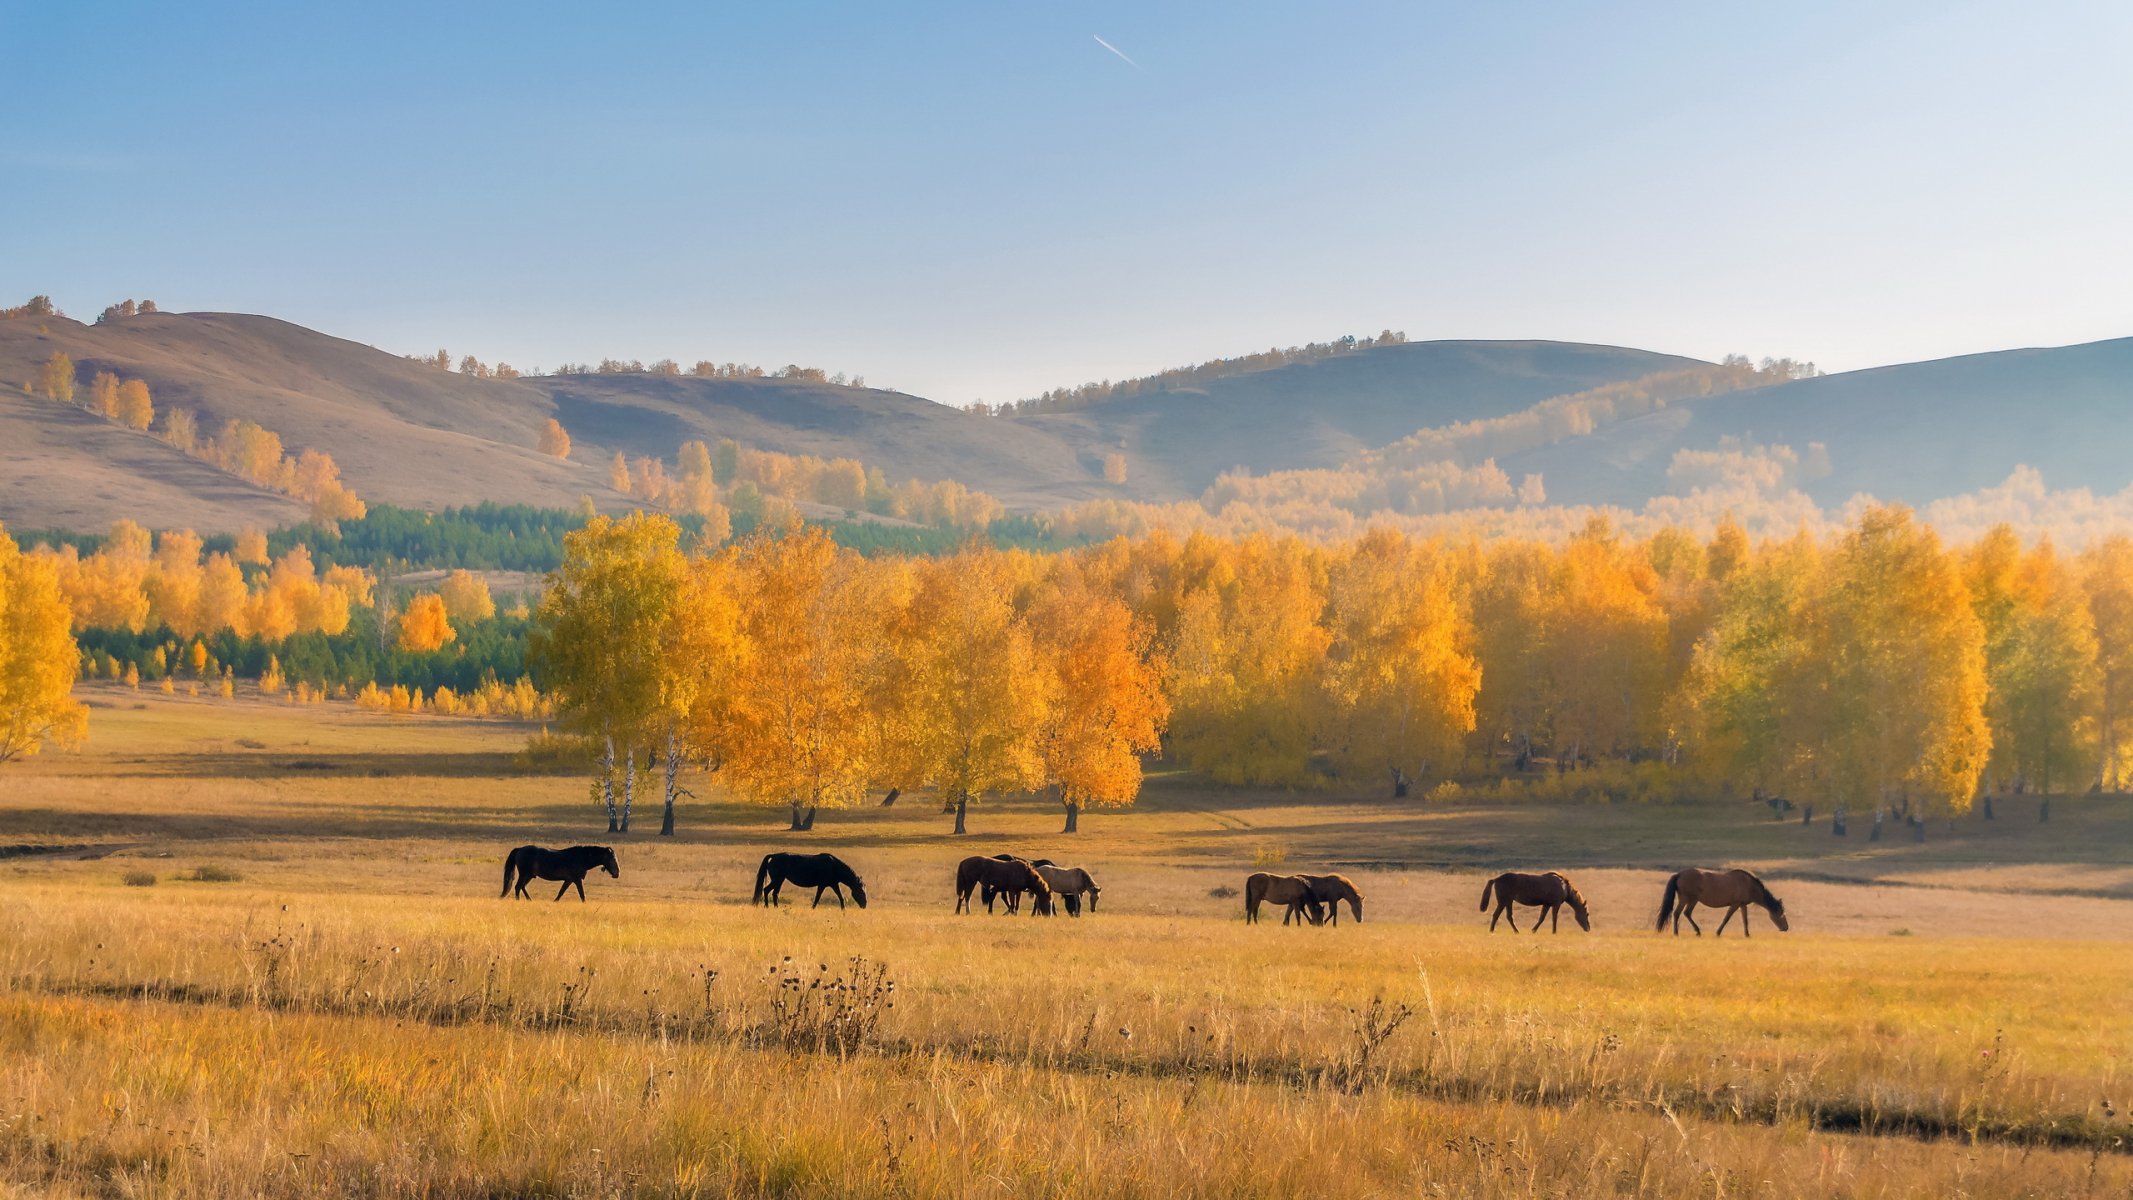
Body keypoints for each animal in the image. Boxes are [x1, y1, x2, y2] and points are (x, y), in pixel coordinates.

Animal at [1655, 867, 1788, 937]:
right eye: (1781, 914)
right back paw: (1677, 933)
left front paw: (1747, 934)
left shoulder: (1742, 905)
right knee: (1677, 913)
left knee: (1686, 913)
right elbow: (1726, 919)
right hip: (1687, 899)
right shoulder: (1735, 904)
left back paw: (1697, 931)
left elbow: (1745, 920)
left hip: (1693, 900)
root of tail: (1679, 874)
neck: (1749, 885)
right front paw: (1718, 932)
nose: (1786, 928)